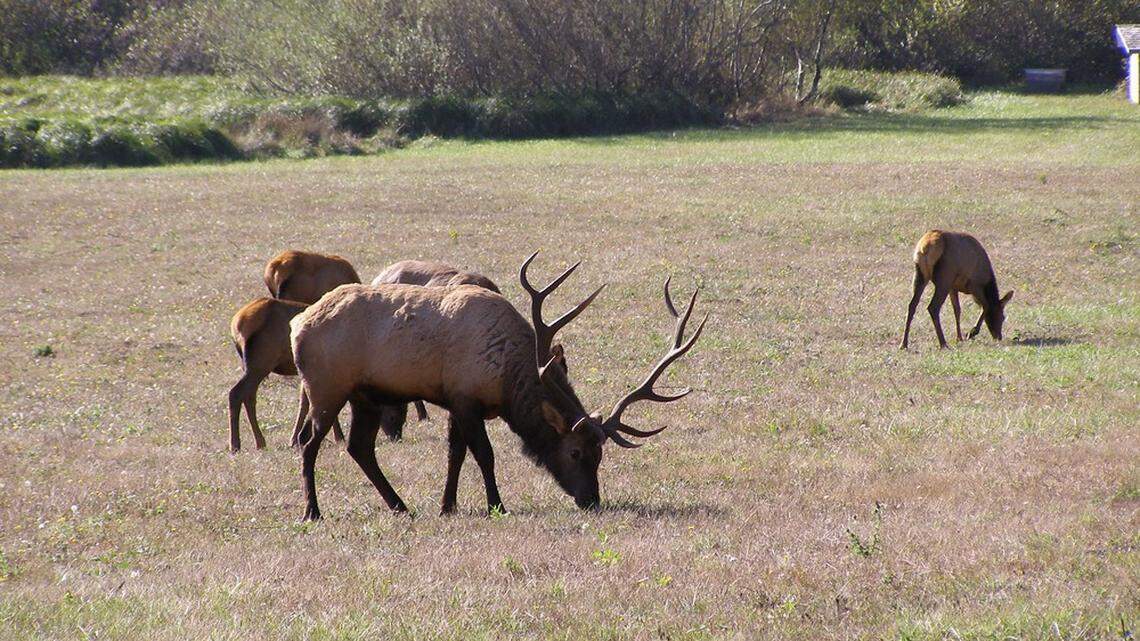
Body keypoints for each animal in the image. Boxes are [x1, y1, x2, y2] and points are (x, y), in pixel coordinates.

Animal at [228, 297, 344, 452]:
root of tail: (236, 323)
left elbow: (305, 403)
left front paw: (295, 439)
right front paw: (339, 437)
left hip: (252, 367)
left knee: (248, 396)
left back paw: (260, 442)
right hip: (259, 364)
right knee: (236, 393)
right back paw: (235, 445)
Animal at [289, 251, 706, 521]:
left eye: (600, 454)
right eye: (574, 452)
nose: (591, 499)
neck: (506, 381)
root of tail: (297, 326)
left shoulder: (455, 400)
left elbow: (455, 453)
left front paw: (447, 506)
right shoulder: (465, 397)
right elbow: (484, 454)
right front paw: (496, 505)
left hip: (366, 397)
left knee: (359, 447)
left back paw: (400, 505)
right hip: (325, 387)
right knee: (309, 443)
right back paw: (312, 511)